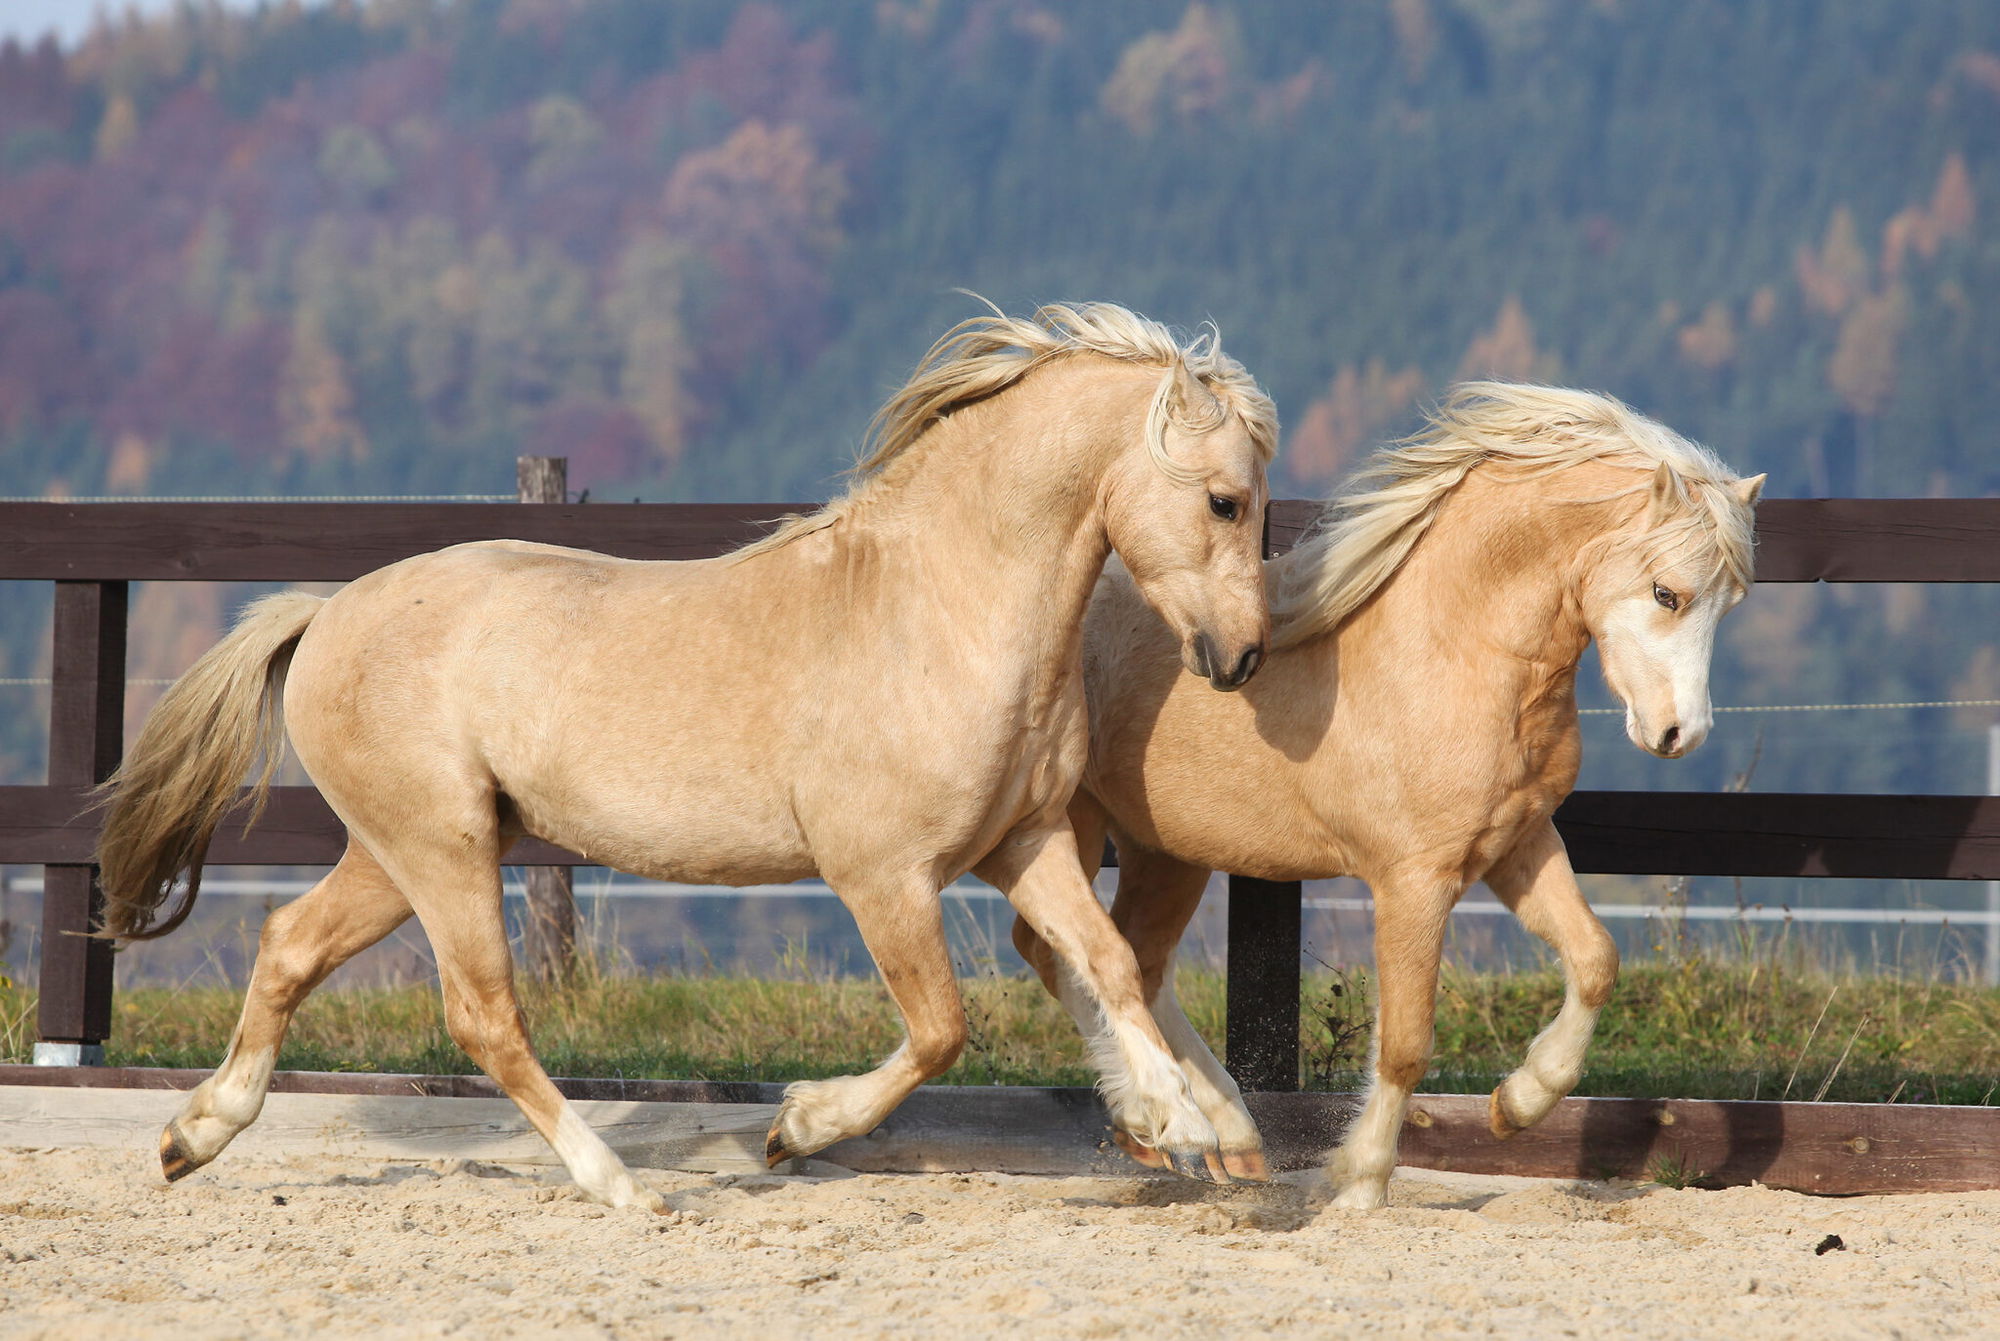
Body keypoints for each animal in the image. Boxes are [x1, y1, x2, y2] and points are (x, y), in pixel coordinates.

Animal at [94, 301, 1280, 1211]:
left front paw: (1179, 1120)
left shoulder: (1023, 843)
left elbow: (1110, 961)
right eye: (1225, 500)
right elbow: (943, 1029)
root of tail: (325, 612)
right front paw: (796, 1128)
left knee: (289, 945)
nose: (1240, 658)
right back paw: (621, 1186)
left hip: (401, 854)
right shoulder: (883, 877)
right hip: (440, 850)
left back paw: (192, 1138)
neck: (940, 608)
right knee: (485, 1017)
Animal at [1011, 381, 1763, 1208]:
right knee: (1063, 952)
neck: (1453, 648)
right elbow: (1403, 1043)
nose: (1678, 732)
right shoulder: (1414, 881)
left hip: (1167, 849)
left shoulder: (1519, 845)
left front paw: (1518, 1102)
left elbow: (1596, 957)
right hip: (1071, 824)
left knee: (1138, 963)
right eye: (1667, 592)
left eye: (1730, 604)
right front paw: (1359, 1182)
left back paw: (1223, 1138)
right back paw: (1156, 1121)